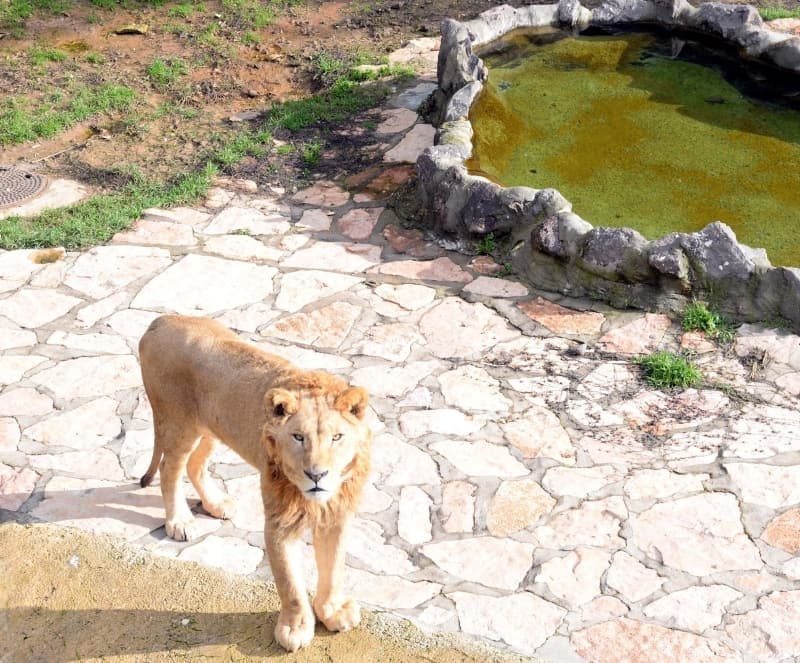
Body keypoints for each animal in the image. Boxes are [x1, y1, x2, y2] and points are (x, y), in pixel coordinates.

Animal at [138, 314, 372, 652]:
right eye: (298, 437)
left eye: (337, 437)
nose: (317, 475)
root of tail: (161, 320)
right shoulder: (279, 523)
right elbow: (290, 584)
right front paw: (295, 629)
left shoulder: (336, 516)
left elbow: (334, 569)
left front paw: (332, 611)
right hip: (178, 423)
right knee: (171, 468)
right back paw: (179, 521)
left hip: (211, 427)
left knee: (196, 465)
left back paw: (216, 504)